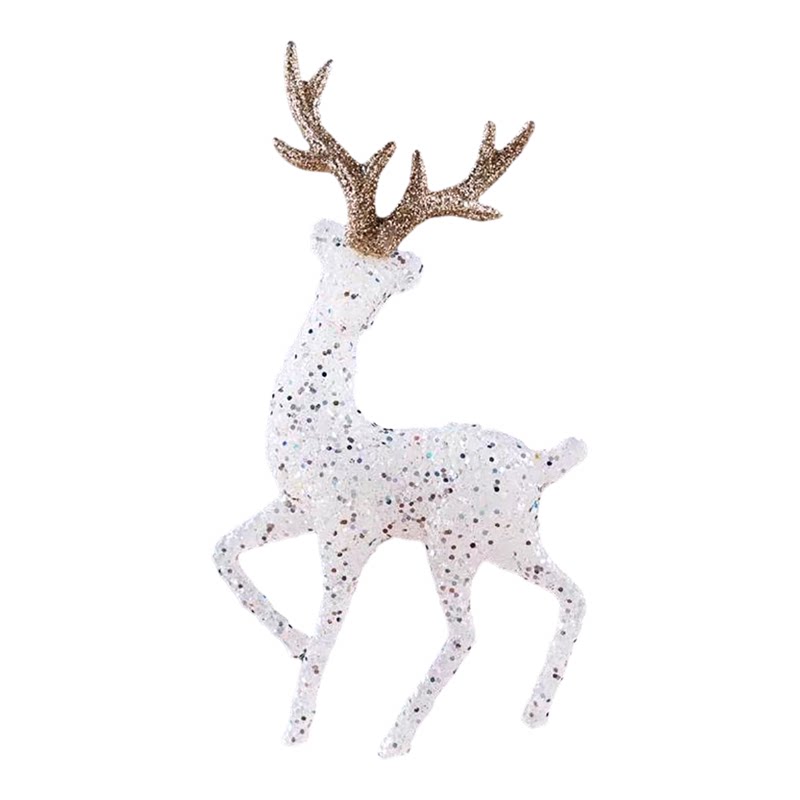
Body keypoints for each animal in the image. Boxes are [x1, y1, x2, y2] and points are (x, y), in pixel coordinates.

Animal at [214, 42, 587, 758]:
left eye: (378, 283)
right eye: (341, 260)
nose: (354, 295)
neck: (324, 424)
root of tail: (542, 465)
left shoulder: (347, 536)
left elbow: (330, 640)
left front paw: (297, 733)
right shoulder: (295, 509)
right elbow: (222, 552)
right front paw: (294, 641)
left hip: (454, 546)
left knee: (469, 634)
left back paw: (393, 740)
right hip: (514, 543)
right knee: (577, 594)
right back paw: (533, 714)